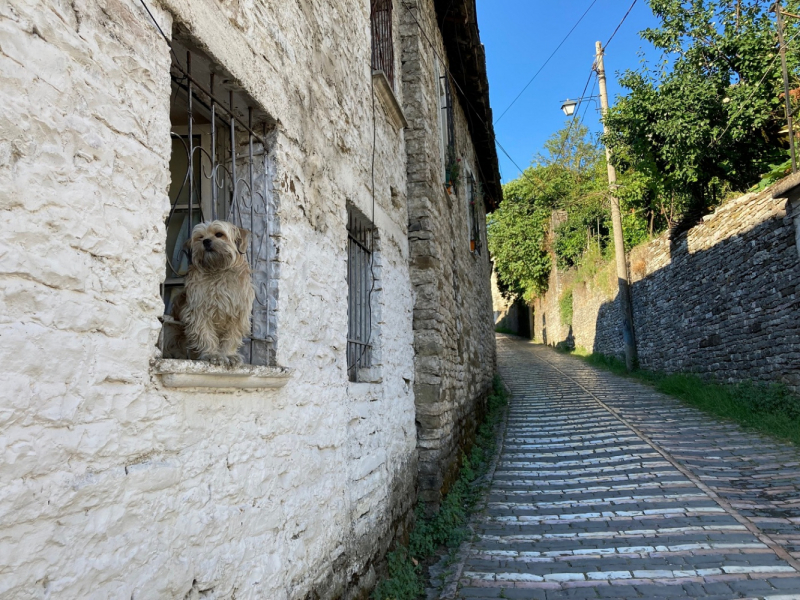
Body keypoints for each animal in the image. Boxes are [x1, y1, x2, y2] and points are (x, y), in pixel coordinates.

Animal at [172, 220, 253, 366]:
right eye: (200, 237)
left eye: (219, 234)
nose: (206, 241)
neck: (217, 270)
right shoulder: (199, 311)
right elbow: (205, 333)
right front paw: (212, 354)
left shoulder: (238, 313)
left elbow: (232, 336)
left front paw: (229, 354)